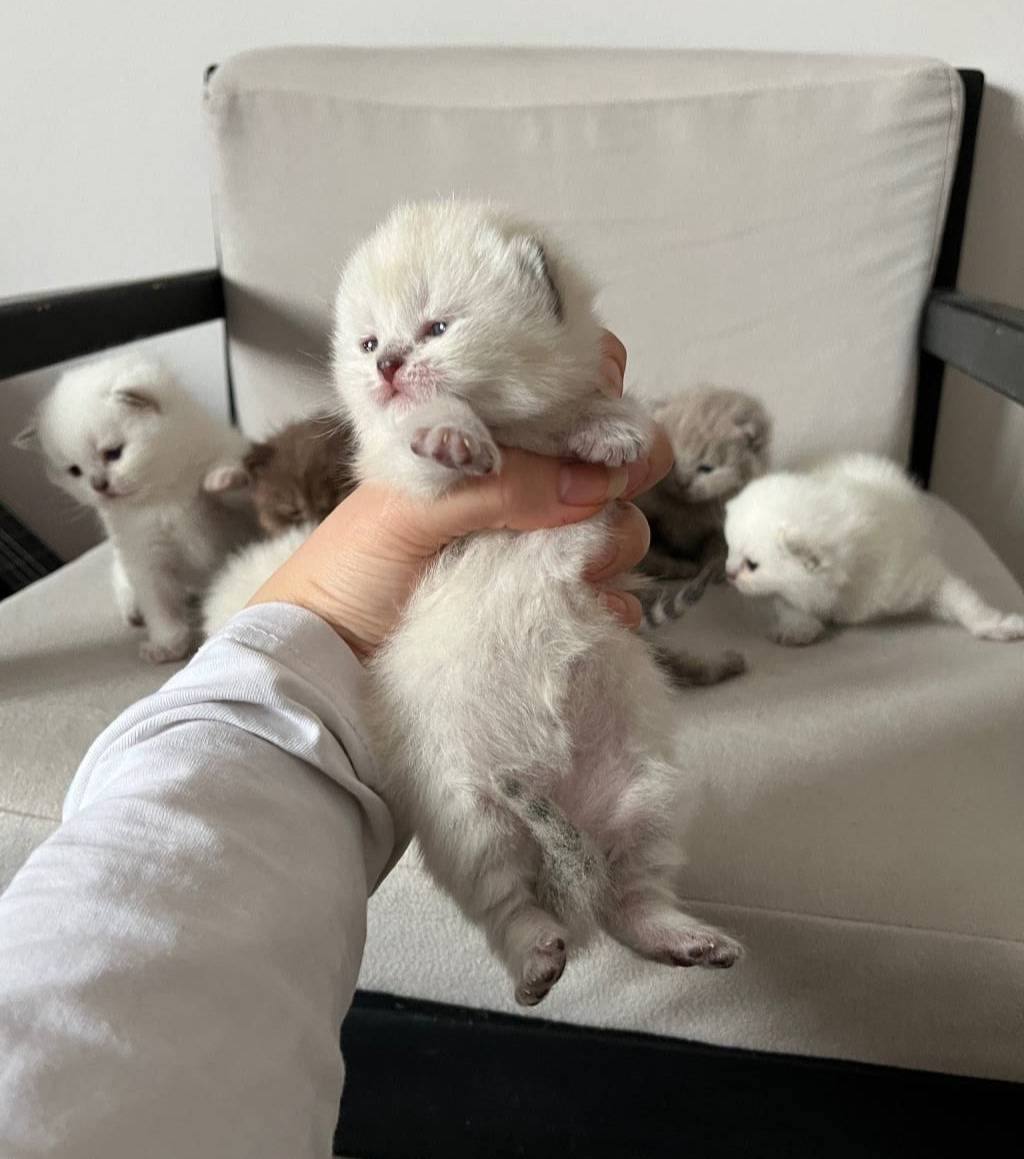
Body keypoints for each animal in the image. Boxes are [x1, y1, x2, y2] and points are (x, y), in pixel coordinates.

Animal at [14, 354, 258, 663]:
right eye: (74, 471)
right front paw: (168, 645)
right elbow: (159, 605)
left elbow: (234, 487)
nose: (98, 485)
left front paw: (223, 478)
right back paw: (134, 612)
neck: (162, 494)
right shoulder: (143, 555)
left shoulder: (241, 507)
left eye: (113, 453)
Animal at [332, 199, 742, 1007]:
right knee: (510, 904)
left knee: (631, 897)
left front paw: (607, 430)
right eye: (367, 341)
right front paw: (447, 431)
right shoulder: (402, 491)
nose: (386, 364)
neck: (516, 429)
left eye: (437, 327)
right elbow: (414, 449)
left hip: (649, 790)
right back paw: (535, 960)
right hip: (467, 817)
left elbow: (605, 420)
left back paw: (684, 939)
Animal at [637, 387, 771, 582]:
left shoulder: (722, 526)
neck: (687, 510)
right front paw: (677, 567)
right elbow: (649, 554)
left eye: (706, 468)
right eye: (671, 463)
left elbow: (719, 549)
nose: (682, 482)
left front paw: (712, 570)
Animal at [724, 452, 1024, 646]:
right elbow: (788, 604)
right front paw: (798, 627)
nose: (728, 573)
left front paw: (995, 625)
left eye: (751, 565)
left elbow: (963, 601)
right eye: (728, 550)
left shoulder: (907, 575)